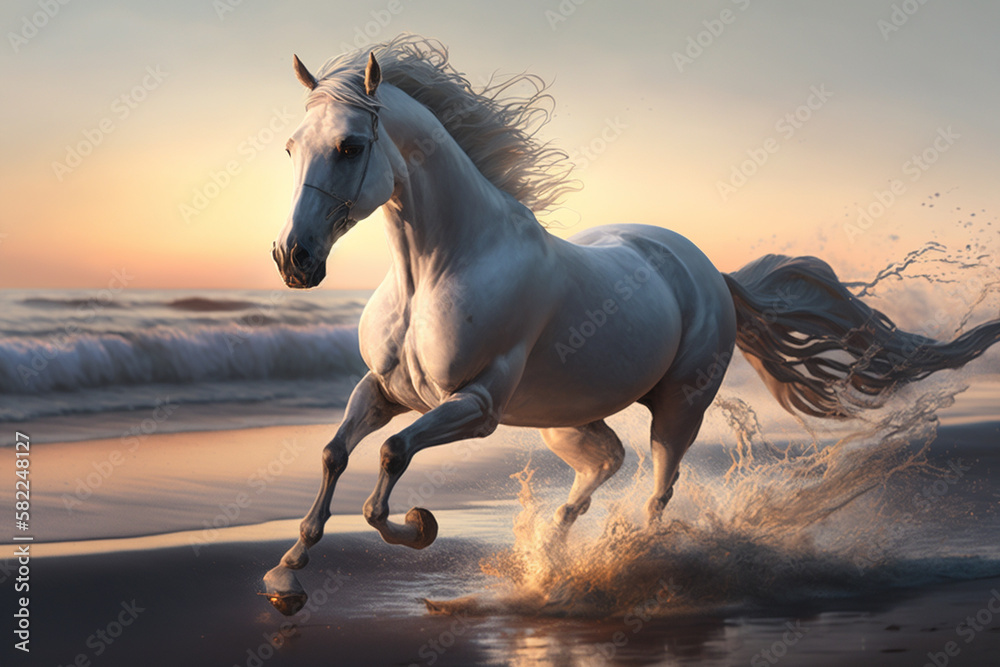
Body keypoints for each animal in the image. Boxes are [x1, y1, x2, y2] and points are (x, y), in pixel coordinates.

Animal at [263, 35, 1000, 615]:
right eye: (292, 147)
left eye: (351, 145)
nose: (293, 259)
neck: (440, 266)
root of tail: (709, 270)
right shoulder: (385, 391)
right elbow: (335, 452)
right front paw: (286, 577)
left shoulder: (476, 405)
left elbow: (390, 456)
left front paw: (419, 527)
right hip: (563, 419)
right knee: (605, 463)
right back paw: (555, 559)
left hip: (678, 409)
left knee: (656, 488)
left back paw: (634, 564)